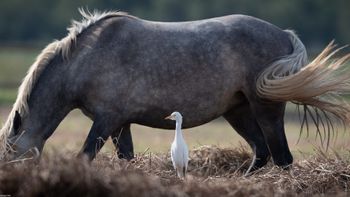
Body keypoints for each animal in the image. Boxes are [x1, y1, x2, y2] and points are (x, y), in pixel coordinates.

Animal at [0, 9, 350, 172]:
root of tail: (284, 34)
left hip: (266, 110)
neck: (86, 60)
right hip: (238, 111)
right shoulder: (120, 124)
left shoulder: (106, 121)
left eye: (9, 155)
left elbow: (85, 155)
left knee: (283, 158)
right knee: (262, 154)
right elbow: (127, 158)